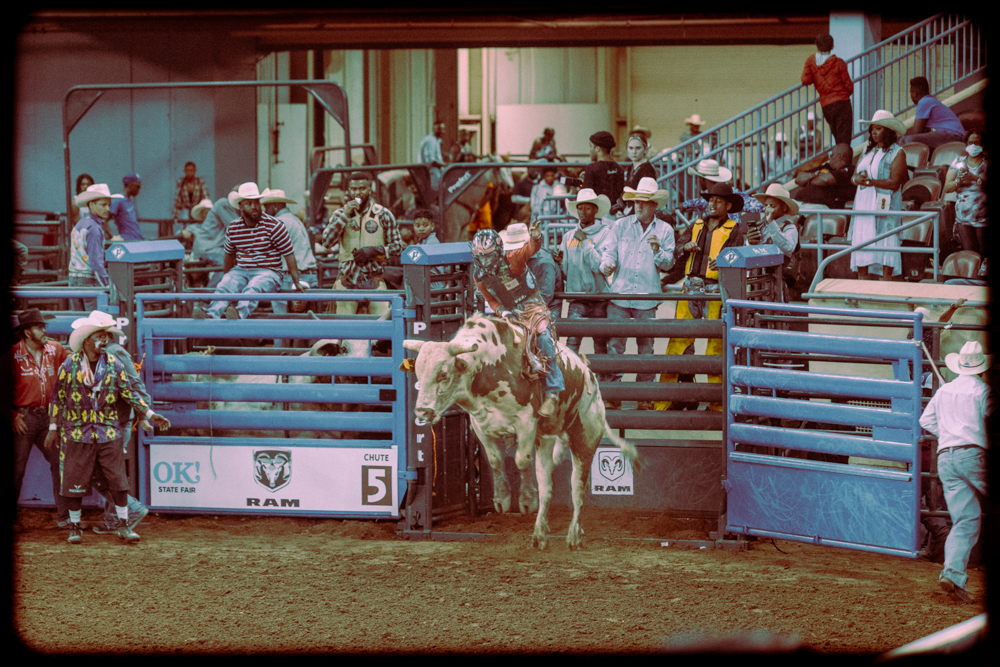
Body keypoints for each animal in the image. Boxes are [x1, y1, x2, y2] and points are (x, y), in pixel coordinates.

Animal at [400, 314, 640, 548]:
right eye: (418, 373)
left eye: (443, 374)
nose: (422, 411)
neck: (488, 365)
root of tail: (590, 378)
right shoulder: (480, 425)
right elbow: (495, 460)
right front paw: (502, 499)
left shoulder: (526, 422)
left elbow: (521, 460)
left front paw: (526, 500)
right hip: (546, 440)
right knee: (547, 486)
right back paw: (540, 534)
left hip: (585, 437)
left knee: (578, 487)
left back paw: (573, 535)